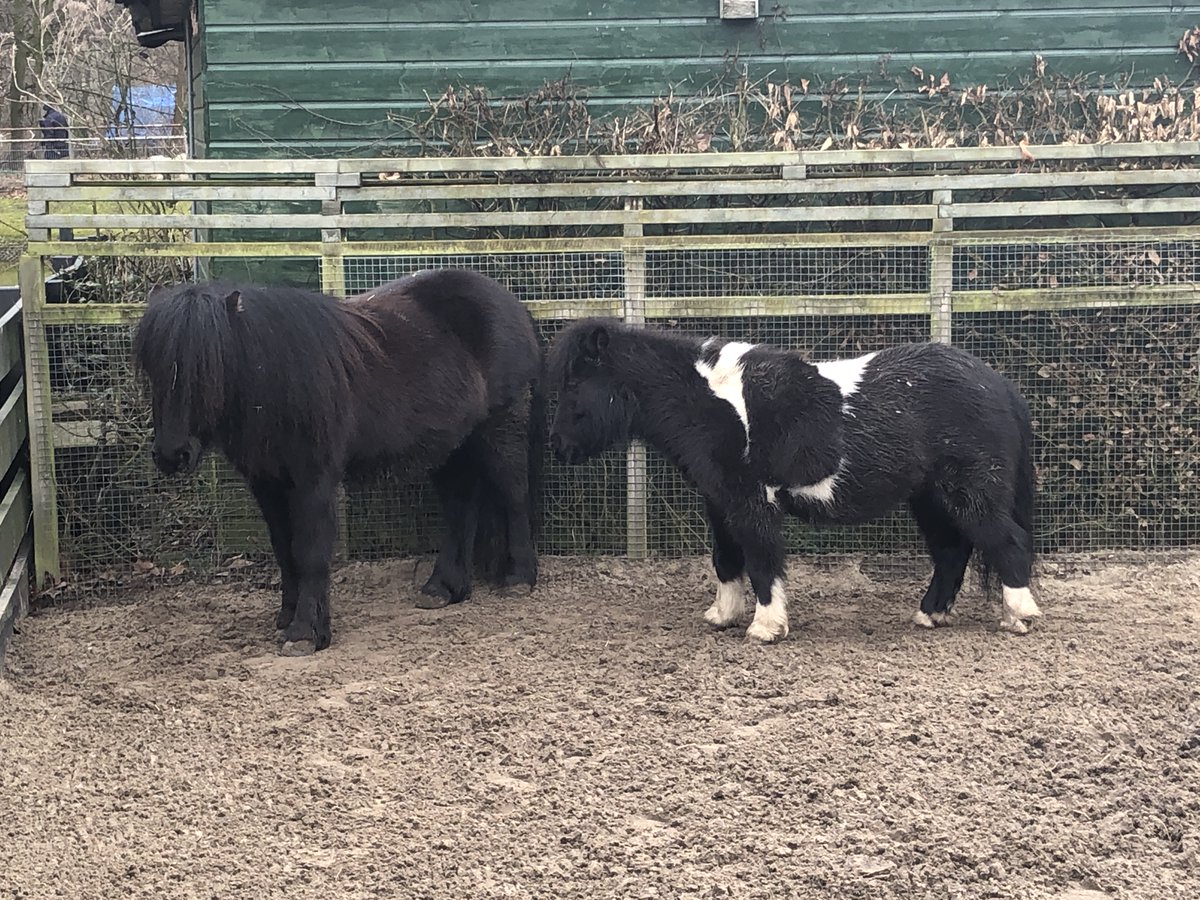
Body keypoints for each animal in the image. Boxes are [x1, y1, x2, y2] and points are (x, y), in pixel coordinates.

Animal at [133, 268, 545, 655]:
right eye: (153, 369)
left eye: (209, 368)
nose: (171, 455)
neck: (276, 379)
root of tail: (511, 303)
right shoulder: (267, 483)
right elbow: (283, 548)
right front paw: (288, 616)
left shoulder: (313, 479)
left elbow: (310, 551)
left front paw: (305, 633)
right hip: (452, 444)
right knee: (461, 505)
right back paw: (443, 588)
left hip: (500, 426)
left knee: (513, 495)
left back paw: (518, 579)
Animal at [547, 318, 1041, 643]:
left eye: (574, 385)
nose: (557, 448)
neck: (715, 404)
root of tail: (999, 385)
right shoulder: (720, 502)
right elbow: (726, 559)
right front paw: (722, 616)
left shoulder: (752, 502)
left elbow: (762, 560)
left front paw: (766, 627)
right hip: (931, 499)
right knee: (951, 553)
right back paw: (929, 616)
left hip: (968, 493)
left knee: (1006, 542)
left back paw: (1020, 616)